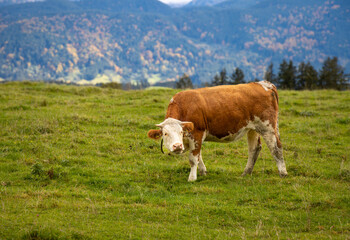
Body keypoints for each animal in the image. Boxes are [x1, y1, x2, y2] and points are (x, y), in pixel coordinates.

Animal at [148, 81, 288, 182]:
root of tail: (263, 84)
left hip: (268, 127)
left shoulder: (197, 134)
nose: (177, 146)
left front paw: (192, 178)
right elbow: (199, 156)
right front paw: (203, 172)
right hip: (253, 129)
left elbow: (193, 158)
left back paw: (283, 173)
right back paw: (246, 172)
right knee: (254, 149)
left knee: (276, 147)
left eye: (181, 132)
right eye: (165, 133)